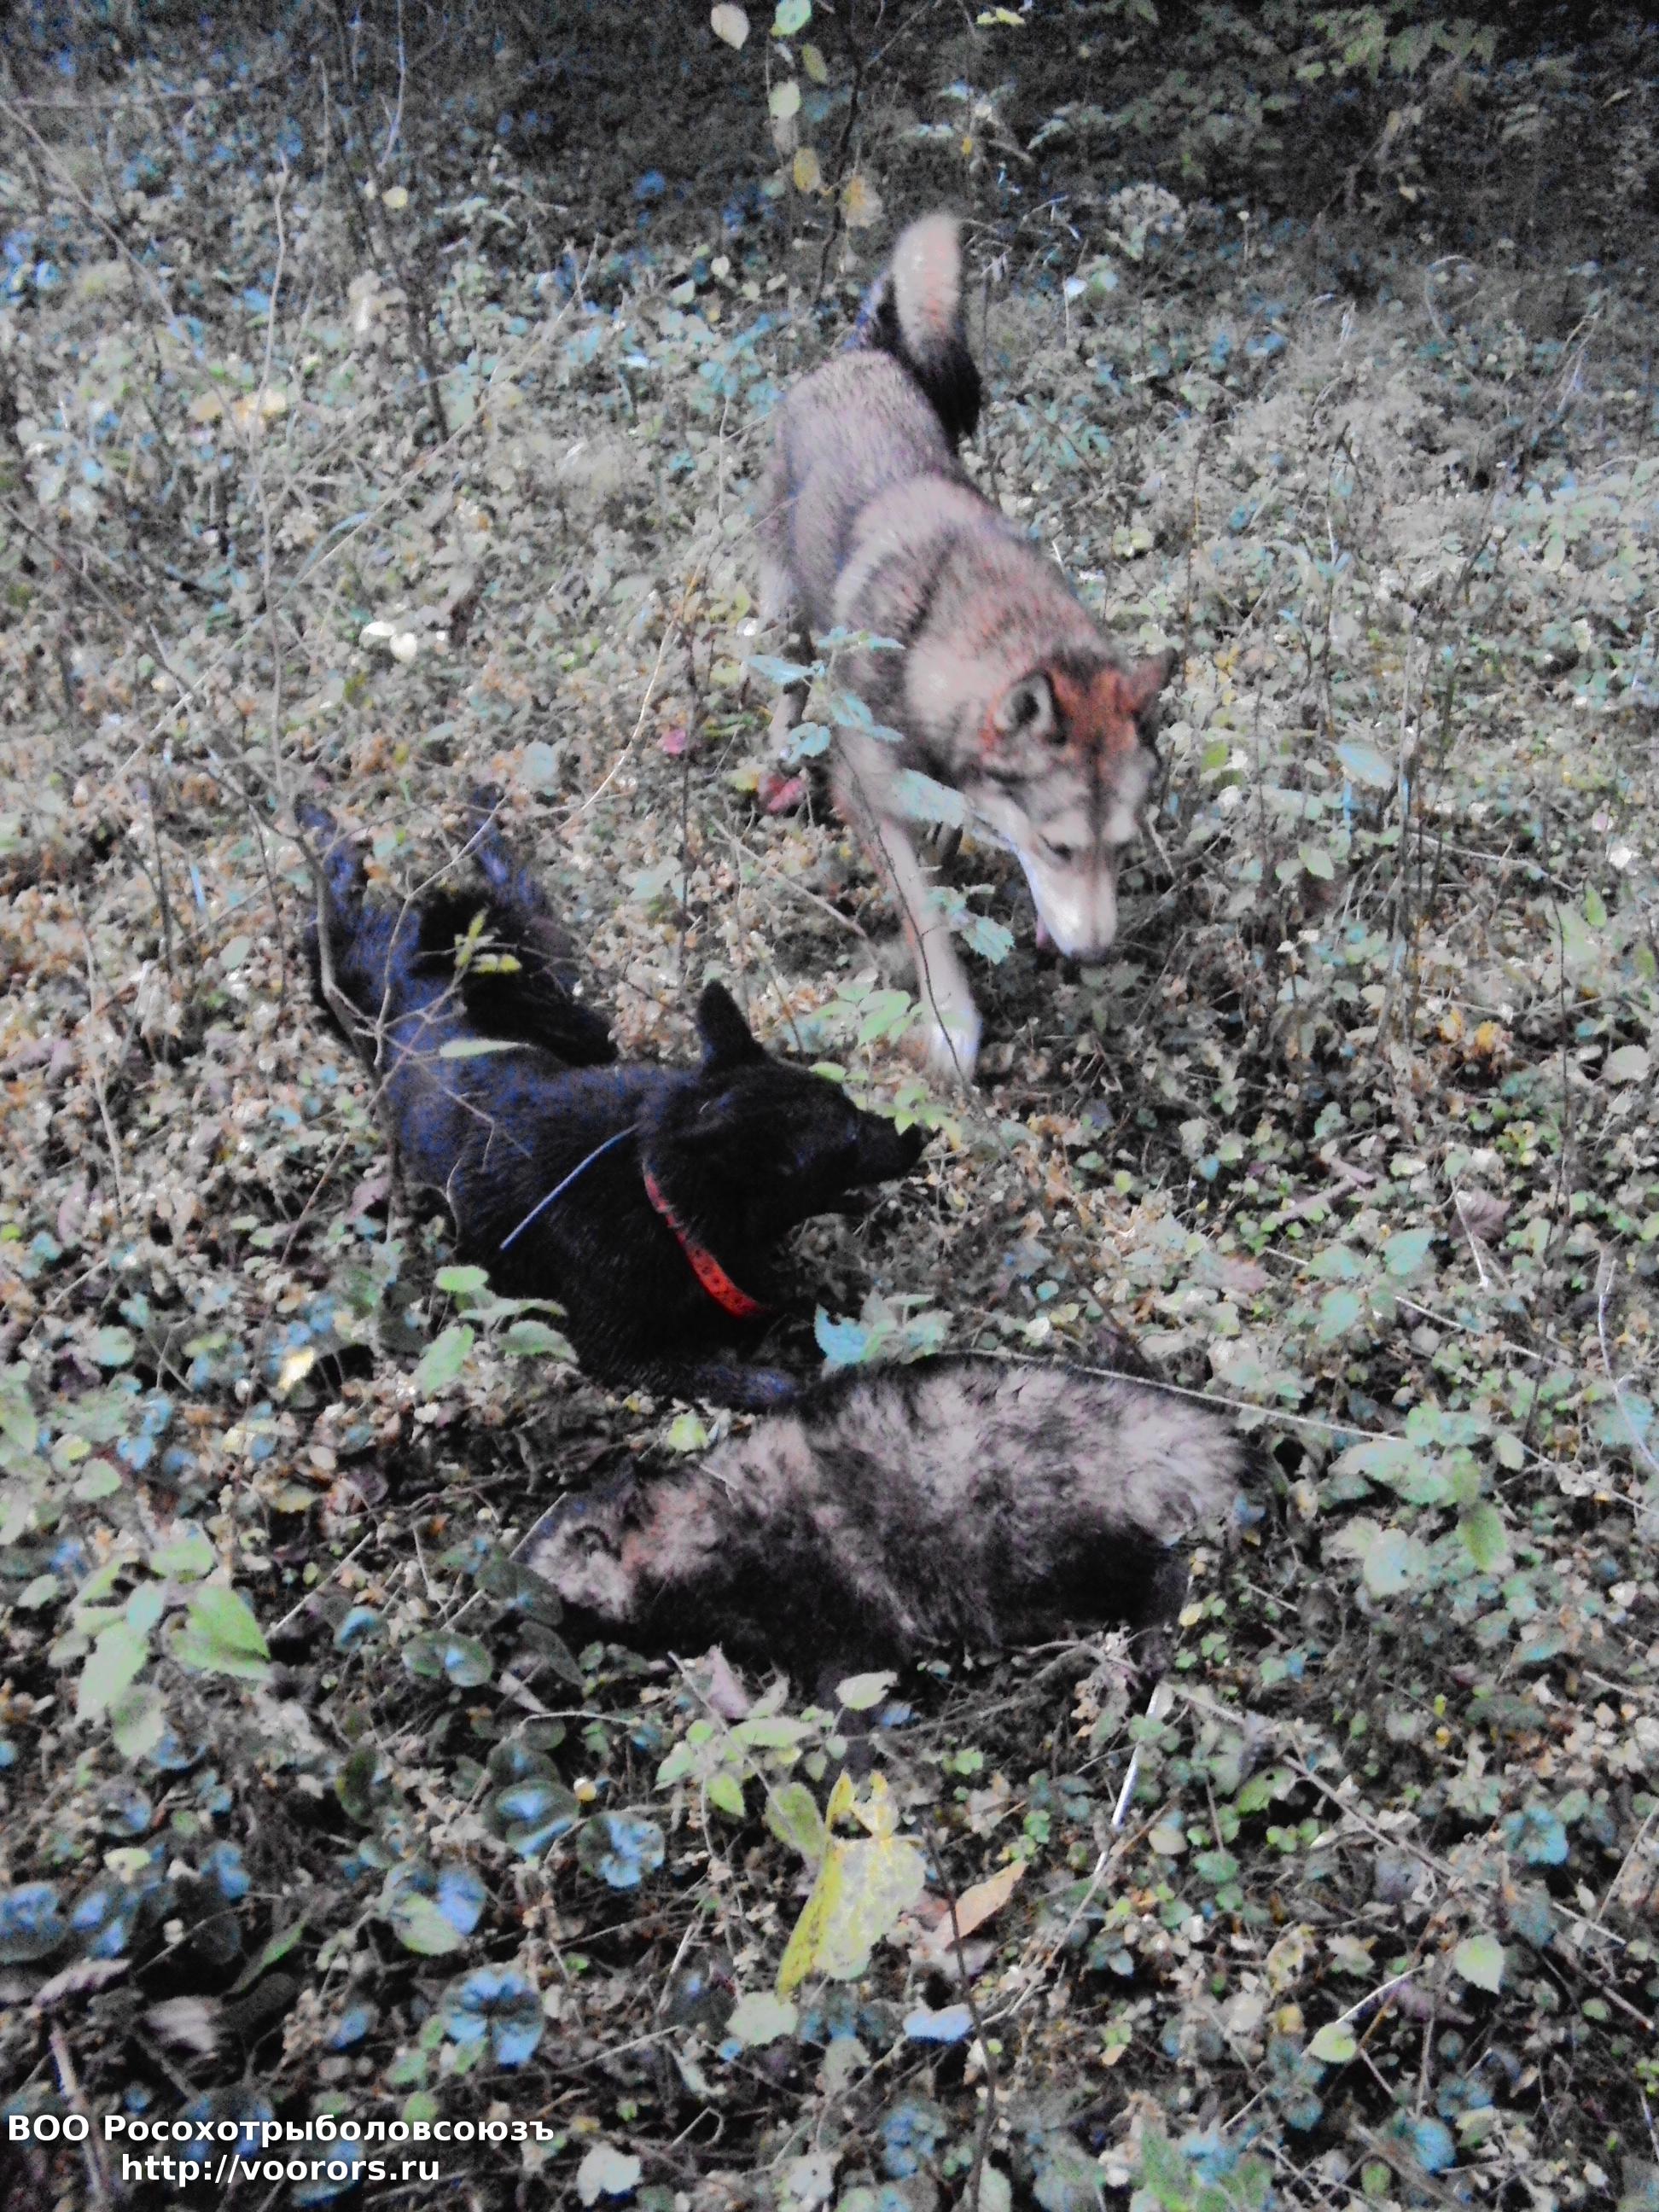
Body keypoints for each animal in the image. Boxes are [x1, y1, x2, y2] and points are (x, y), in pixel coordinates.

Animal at [298, 800, 927, 1407]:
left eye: (846, 1097)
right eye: (845, 1141)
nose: (916, 1134)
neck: (657, 1193)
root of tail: (416, 943)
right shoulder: (618, 1353)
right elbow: (757, 1381)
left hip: (561, 991)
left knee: (514, 890)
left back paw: (473, 821)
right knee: (340, 900)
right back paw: (331, 834)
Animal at [526, 1353, 1248, 1697]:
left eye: (547, 1602)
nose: (525, 1664)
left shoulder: (828, 1578)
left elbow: (853, 1674)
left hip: (1039, 1528)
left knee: (1149, 1564)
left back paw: (1154, 1632)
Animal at [757, 211, 1175, 1083]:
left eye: (1121, 849)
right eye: (1059, 847)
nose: (1093, 954)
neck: (934, 644)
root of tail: (862, 354)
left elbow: (949, 854)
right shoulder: (871, 802)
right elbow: (927, 919)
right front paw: (954, 1026)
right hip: (780, 607)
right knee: (786, 678)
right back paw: (780, 751)